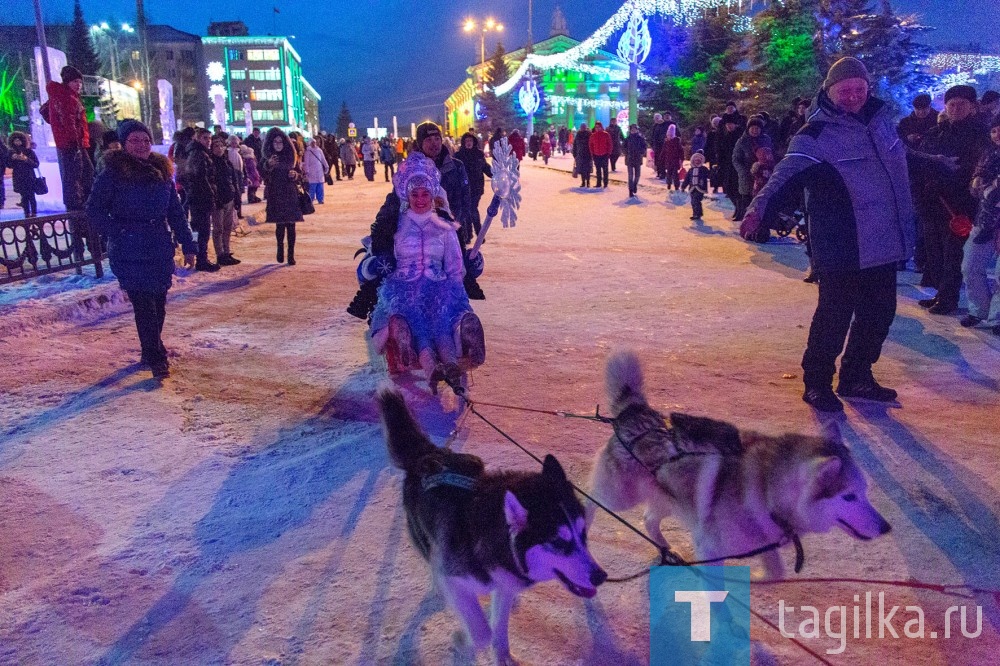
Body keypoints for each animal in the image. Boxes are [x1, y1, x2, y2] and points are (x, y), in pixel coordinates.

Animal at [378, 386, 604, 660]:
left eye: (583, 535)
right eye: (559, 541)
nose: (601, 576)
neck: (496, 544)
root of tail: (429, 455)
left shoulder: (504, 585)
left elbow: (499, 628)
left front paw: (503, 656)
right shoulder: (456, 581)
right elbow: (482, 631)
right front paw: (463, 641)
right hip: (424, 538)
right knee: (432, 561)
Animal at [584, 350, 892, 580]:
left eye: (865, 491)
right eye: (849, 496)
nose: (886, 527)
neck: (765, 491)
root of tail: (635, 411)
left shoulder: (759, 545)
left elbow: (775, 572)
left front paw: (756, 578)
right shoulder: (711, 547)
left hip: (668, 498)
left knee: (648, 519)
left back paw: (666, 549)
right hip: (621, 495)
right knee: (591, 498)